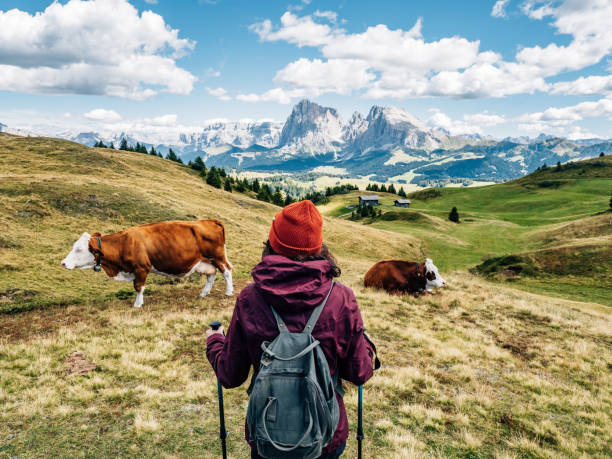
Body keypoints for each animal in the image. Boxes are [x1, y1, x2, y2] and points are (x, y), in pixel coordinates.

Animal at [60, 220, 232, 310]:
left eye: (79, 249)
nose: (63, 263)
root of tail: (209, 221)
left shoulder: (141, 268)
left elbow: (139, 287)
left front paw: (137, 304)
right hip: (207, 261)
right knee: (211, 275)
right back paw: (204, 293)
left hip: (218, 256)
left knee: (227, 271)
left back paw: (229, 292)